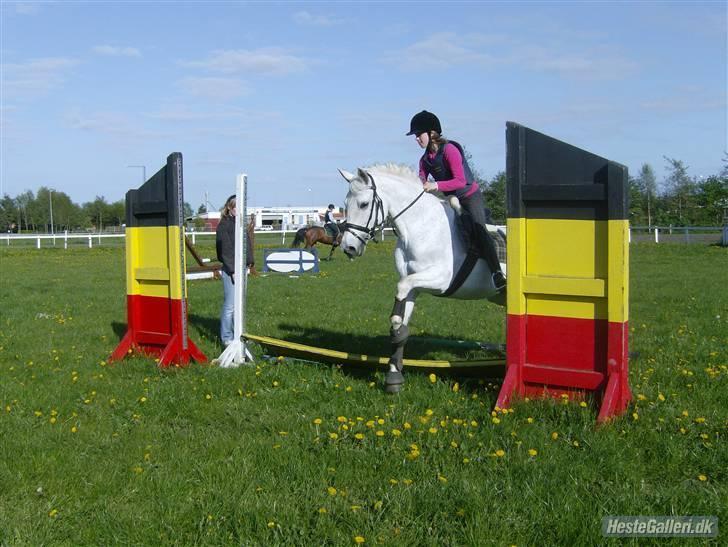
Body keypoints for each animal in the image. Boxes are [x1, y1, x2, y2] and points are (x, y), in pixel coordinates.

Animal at [336, 166, 504, 394]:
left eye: (363, 204)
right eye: (345, 205)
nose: (348, 248)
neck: (421, 228)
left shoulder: (440, 280)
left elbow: (401, 288)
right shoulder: (413, 286)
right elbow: (400, 327)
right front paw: (394, 377)